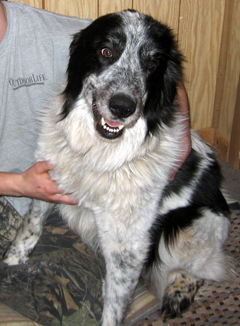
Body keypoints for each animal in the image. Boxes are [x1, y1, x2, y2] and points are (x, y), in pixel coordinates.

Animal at [3, 10, 234, 326]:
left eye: (151, 63)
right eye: (106, 52)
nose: (122, 107)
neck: (98, 153)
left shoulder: (128, 247)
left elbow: (114, 308)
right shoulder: (49, 182)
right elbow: (32, 225)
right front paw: (13, 260)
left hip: (183, 233)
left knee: (202, 268)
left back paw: (178, 294)